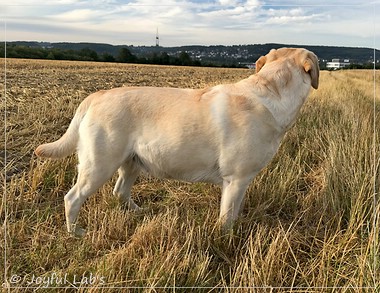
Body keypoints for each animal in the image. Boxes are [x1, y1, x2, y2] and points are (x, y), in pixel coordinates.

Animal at [35, 47, 320, 235]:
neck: (270, 92)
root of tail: (96, 95)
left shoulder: (239, 182)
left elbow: (235, 211)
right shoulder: (236, 179)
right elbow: (227, 217)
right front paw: (226, 239)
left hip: (132, 162)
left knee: (120, 192)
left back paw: (139, 213)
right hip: (98, 165)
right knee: (72, 198)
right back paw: (76, 233)